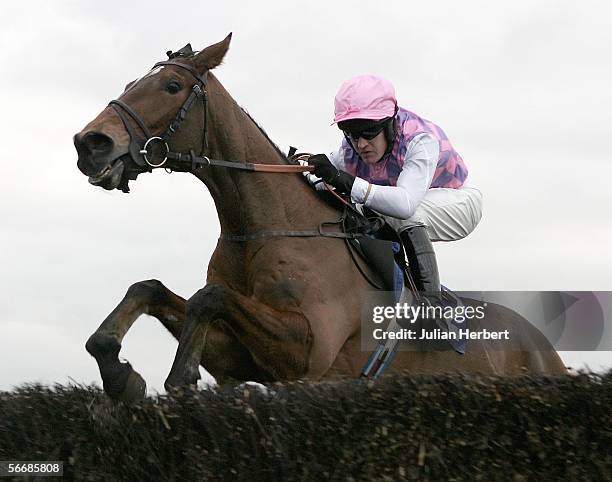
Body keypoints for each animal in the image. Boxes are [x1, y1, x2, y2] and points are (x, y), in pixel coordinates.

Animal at [74, 35, 568, 402]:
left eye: (172, 87)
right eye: (132, 81)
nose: (89, 143)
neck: (259, 228)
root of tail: (545, 348)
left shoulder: (306, 351)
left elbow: (208, 296)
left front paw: (178, 378)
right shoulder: (240, 356)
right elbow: (151, 288)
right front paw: (118, 372)